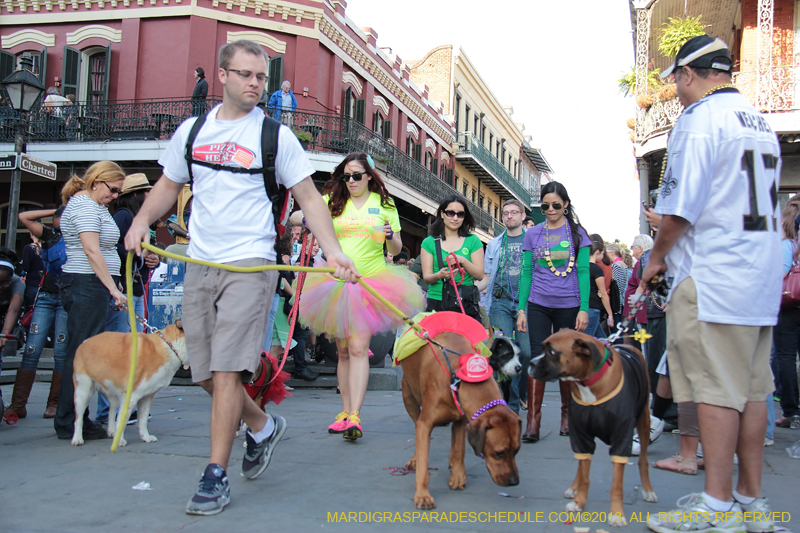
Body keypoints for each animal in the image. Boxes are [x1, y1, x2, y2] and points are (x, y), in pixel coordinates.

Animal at [532, 330, 656, 524]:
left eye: (552, 352)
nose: (531, 363)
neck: (587, 381)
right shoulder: (581, 436)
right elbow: (584, 474)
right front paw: (579, 502)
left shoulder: (621, 439)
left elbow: (616, 483)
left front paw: (617, 514)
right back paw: (573, 488)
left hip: (643, 422)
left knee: (643, 459)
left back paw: (648, 490)